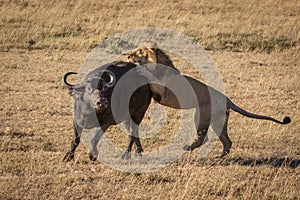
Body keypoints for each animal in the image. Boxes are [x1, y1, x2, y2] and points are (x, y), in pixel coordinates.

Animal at [122, 42, 290, 157]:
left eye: (139, 51)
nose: (128, 55)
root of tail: (226, 99)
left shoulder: (160, 87)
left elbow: (147, 73)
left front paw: (138, 67)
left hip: (201, 115)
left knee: (204, 138)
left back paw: (187, 148)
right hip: (219, 121)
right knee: (226, 141)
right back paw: (219, 158)